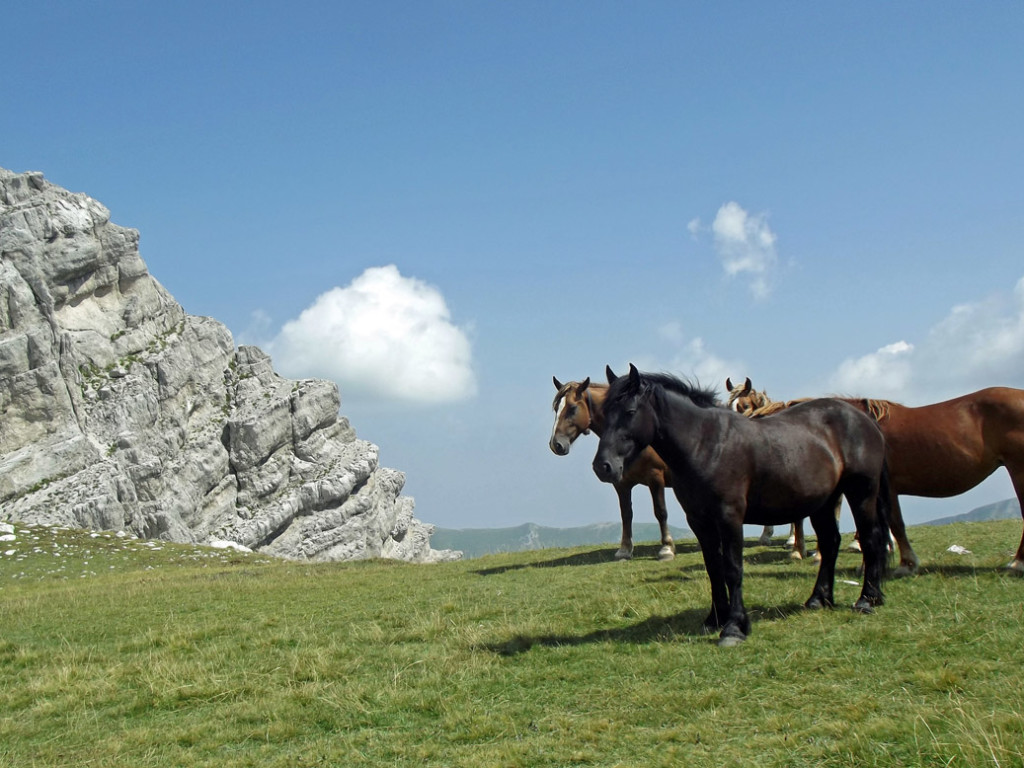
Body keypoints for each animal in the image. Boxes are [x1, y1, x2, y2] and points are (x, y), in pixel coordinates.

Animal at [552, 376, 679, 561]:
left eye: (572, 408)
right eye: (555, 408)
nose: (555, 444)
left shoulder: (656, 477)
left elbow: (660, 511)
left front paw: (666, 548)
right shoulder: (621, 483)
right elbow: (626, 514)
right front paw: (625, 550)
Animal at [593, 366, 888, 651]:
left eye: (630, 412)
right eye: (605, 413)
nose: (603, 466)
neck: (706, 444)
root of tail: (862, 418)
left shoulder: (729, 517)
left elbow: (733, 569)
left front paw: (734, 627)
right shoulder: (699, 521)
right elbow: (714, 568)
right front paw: (714, 619)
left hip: (861, 493)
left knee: (870, 539)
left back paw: (867, 600)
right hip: (824, 502)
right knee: (830, 542)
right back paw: (818, 599)